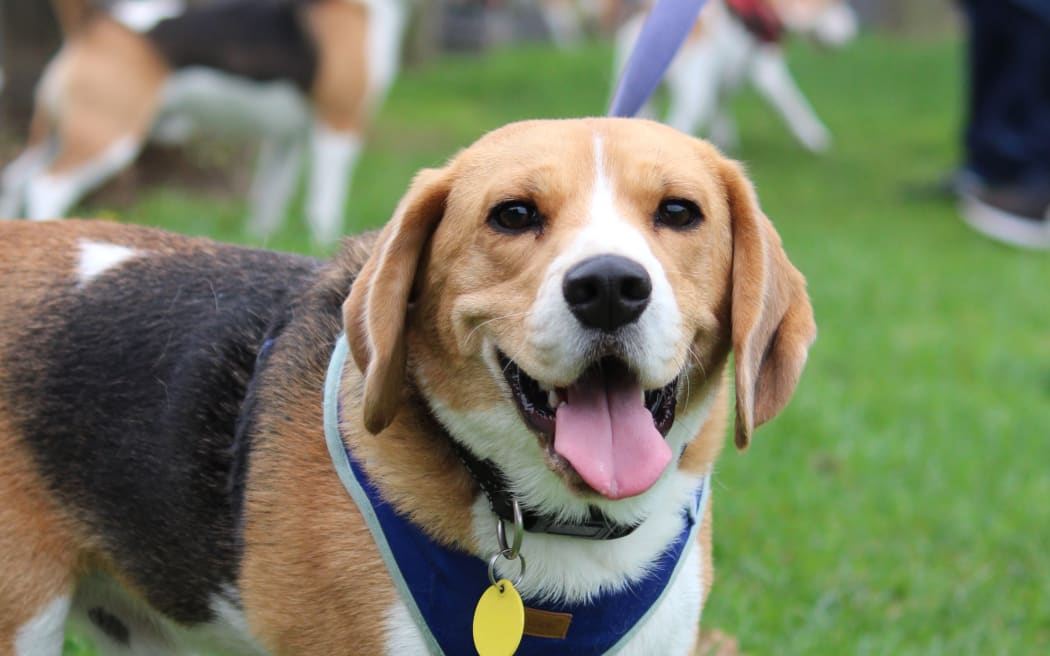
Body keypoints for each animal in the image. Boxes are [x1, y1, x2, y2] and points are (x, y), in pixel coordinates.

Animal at [0, 0, 405, 244]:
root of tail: (98, 24)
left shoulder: (283, 139)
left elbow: (269, 196)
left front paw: (262, 238)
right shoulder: (338, 125)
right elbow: (324, 200)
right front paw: (327, 241)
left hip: (52, 134)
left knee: (15, 181)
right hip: (107, 136)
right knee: (47, 186)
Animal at [617, 0, 856, 153]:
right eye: (834, 7)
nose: (852, 31)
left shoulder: (723, 82)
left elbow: (722, 110)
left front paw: (724, 143)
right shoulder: (766, 70)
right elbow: (791, 102)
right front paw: (814, 138)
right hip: (696, 92)